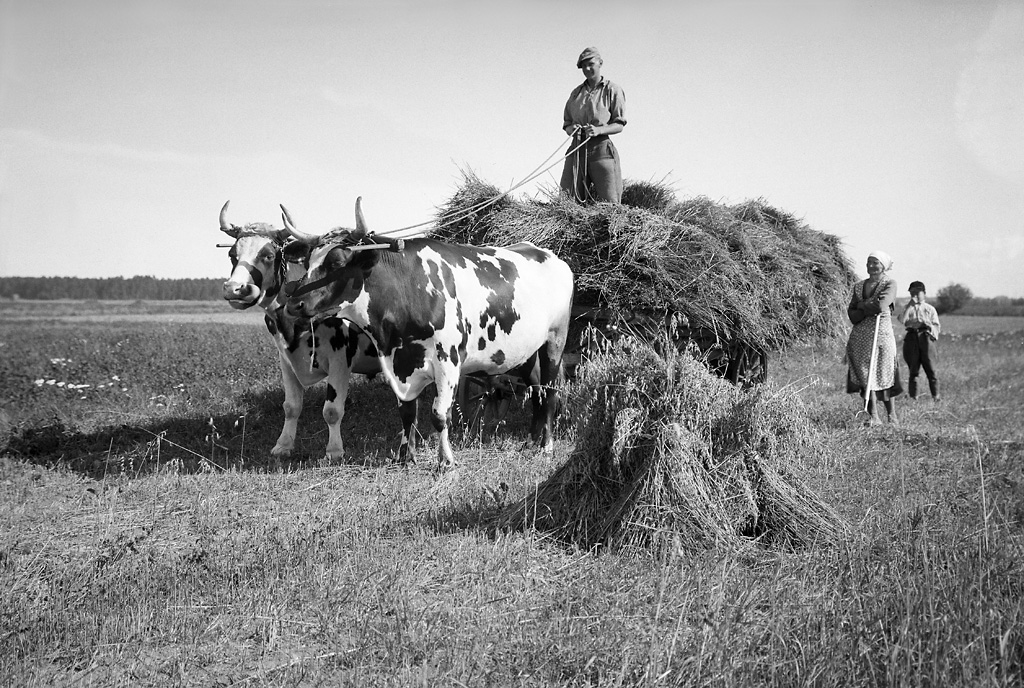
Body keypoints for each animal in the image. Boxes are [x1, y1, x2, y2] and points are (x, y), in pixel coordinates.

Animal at [217, 202, 391, 462]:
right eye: (232, 255)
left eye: (268, 255)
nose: (235, 289)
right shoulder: (285, 359)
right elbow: (291, 406)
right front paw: (283, 445)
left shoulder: (340, 359)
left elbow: (332, 410)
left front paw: (334, 450)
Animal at [284, 196, 577, 470]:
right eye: (307, 262)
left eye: (337, 262)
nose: (293, 304)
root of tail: (547, 254)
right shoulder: (398, 362)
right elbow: (406, 412)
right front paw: (406, 457)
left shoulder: (448, 361)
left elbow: (439, 415)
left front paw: (445, 460)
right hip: (524, 351)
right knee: (537, 390)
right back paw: (530, 441)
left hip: (555, 340)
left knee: (550, 390)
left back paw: (547, 446)